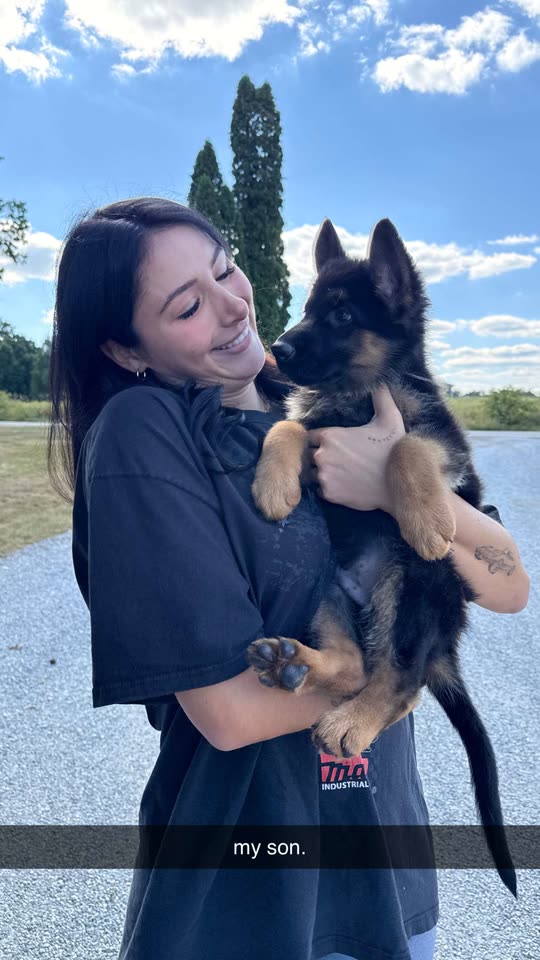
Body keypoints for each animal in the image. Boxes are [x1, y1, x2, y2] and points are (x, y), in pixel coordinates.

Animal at [246, 217, 516, 896]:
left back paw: (354, 718)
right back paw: (294, 664)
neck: (358, 396)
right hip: (326, 582)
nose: (277, 350)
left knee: (402, 678)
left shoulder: (446, 453)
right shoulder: (316, 434)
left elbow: (405, 447)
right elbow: (290, 425)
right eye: (307, 308)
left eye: (343, 315)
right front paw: (273, 484)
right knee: (355, 666)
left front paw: (426, 519)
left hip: (416, 585)